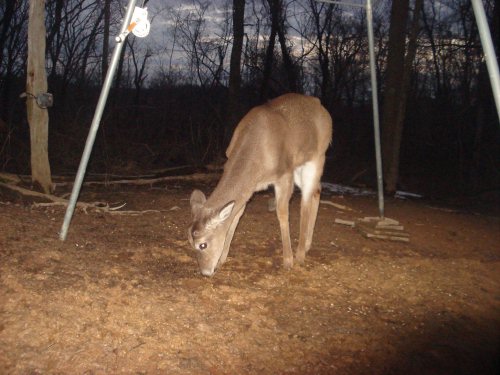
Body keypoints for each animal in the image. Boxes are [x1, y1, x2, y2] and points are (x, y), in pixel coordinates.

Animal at [188, 93, 332, 276]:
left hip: (317, 157)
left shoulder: (284, 173)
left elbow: (282, 212)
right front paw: (222, 260)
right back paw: (307, 244)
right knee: (317, 189)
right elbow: (237, 214)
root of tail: (320, 105)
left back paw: (300, 254)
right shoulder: (251, 186)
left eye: (203, 244)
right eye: (189, 241)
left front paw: (288, 260)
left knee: (306, 200)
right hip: (301, 167)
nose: (205, 272)